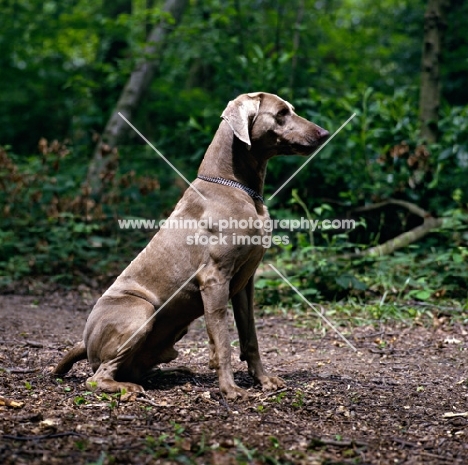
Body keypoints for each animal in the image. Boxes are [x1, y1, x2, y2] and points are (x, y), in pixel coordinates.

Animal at [53, 93, 328, 398]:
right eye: (281, 113)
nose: (324, 133)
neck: (235, 185)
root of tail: (85, 342)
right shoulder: (214, 279)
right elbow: (223, 342)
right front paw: (230, 389)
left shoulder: (245, 283)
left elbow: (250, 337)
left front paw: (263, 380)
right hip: (142, 311)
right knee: (98, 377)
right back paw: (129, 387)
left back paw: (175, 372)